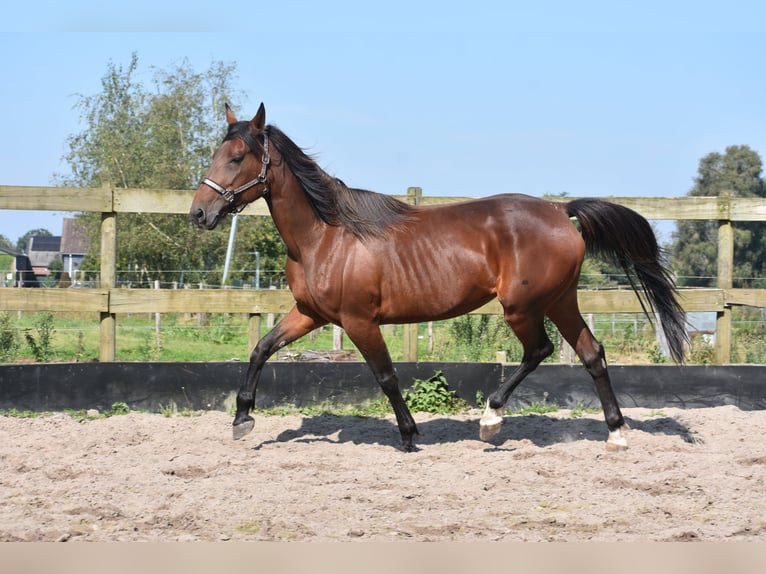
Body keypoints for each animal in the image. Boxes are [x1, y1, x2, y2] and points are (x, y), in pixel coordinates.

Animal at [188, 104, 688, 454]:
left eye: (237, 157)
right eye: (216, 154)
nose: (199, 213)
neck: (325, 235)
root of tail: (558, 210)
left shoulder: (358, 320)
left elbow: (386, 376)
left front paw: (410, 436)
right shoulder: (311, 314)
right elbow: (261, 348)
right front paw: (242, 420)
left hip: (522, 307)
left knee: (539, 350)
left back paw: (490, 420)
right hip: (561, 301)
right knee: (591, 353)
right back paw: (616, 434)